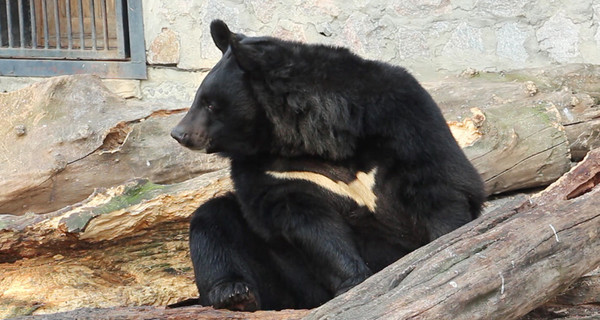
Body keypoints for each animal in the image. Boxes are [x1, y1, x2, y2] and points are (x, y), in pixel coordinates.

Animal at [170, 19, 488, 310]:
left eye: (210, 104)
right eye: (199, 99)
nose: (178, 133)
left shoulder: (401, 118)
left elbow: (436, 181)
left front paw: (448, 242)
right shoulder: (276, 172)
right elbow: (309, 224)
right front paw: (354, 280)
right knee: (213, 222)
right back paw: (234, 294)